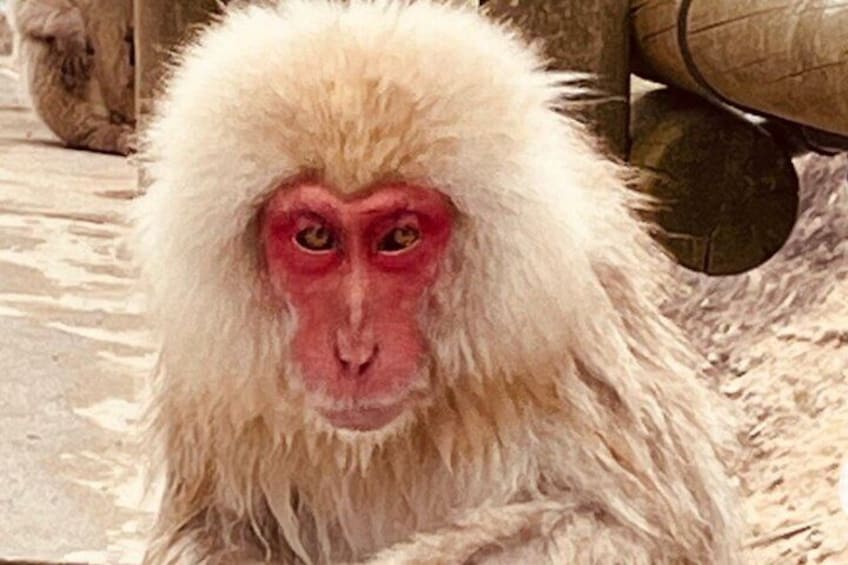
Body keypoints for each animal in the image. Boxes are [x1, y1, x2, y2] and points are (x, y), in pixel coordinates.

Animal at [132, 1, 743, 563]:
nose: (355, 351)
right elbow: (217, 529)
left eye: (399, 237)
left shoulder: (582, 345)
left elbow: (624, 528)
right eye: (315, 236)